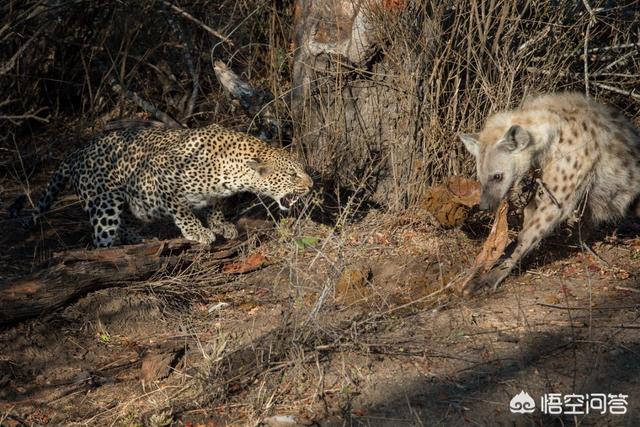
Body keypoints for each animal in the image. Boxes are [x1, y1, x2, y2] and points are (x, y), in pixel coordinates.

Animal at [15, 123, 312, 247]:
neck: (233, 171)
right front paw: (198, 232)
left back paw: (138, 238)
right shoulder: (160, 174)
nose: (311, 185)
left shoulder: (215, 193)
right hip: (104, 202)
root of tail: (75, 153)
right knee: (101, 239)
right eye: (292, 174)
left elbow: (214, 205)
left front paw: (220, 225)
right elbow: (182, 210)